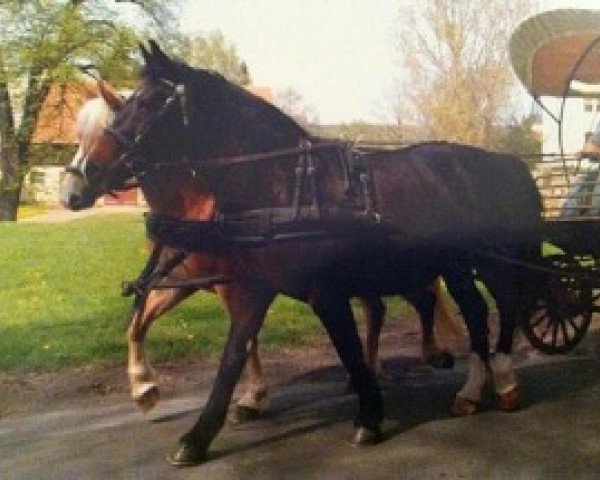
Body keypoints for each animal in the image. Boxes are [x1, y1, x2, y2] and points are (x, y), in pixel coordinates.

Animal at [59, 41, 544, 464]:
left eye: (150, 102)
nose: (82, 180)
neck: (281, 186)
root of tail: (507, 163)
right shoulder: (252, 288)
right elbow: (231, 358)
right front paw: (197, 437)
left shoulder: (324, 293)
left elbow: (347, 348)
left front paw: (369, 417)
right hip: (457, 266)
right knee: (476, 312)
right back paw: (471, 391)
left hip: (492, 261)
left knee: (504, 306)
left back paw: (503, 382)